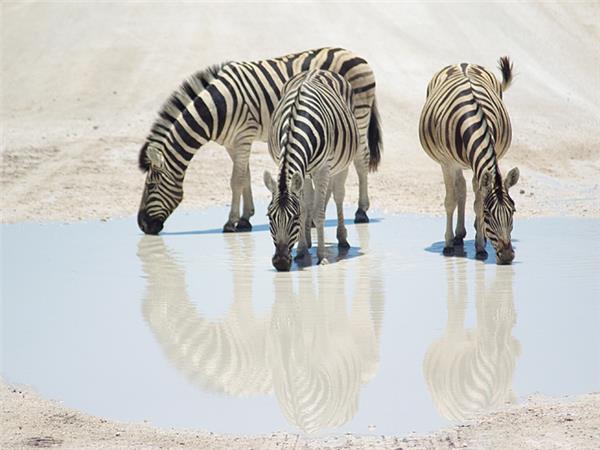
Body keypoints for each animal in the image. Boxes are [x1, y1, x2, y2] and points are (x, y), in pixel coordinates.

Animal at [137, 47, 380, 234]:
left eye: (151, 185)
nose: (142, 226)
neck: (216, 108)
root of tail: (356, 54)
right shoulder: (232, 142)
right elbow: (244, 176)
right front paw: (245, 219)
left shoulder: (244, 134)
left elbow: (236, 180)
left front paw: (231, 222)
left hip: (359, 116)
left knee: (361, 159)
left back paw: (361, 211)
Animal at [264, 67, 378, 270]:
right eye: (270, 217)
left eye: (293, 218)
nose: (281, 263)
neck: (296, 123)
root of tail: (318, 69)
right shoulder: (297, 169)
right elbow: (305, 207)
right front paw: (301, 250)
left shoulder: (323, 169)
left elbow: (318, 213)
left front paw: (322, 257)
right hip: (308, 173)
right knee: (311, 200)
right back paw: (309, 241)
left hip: (341, 162)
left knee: (339, 195)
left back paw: (342, 239)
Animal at [418, 58, 520, 266]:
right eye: (489, 214)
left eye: (513, 211)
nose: (507, 256)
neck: (472, 120)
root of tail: (463, 63)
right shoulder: (447, 163)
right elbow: (450, 201)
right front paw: (448, 244)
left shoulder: (482, 162)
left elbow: (478, 202)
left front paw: (480, 246)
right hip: (454, 163)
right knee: (461, 189)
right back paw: (457, 236)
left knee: (468, 188)